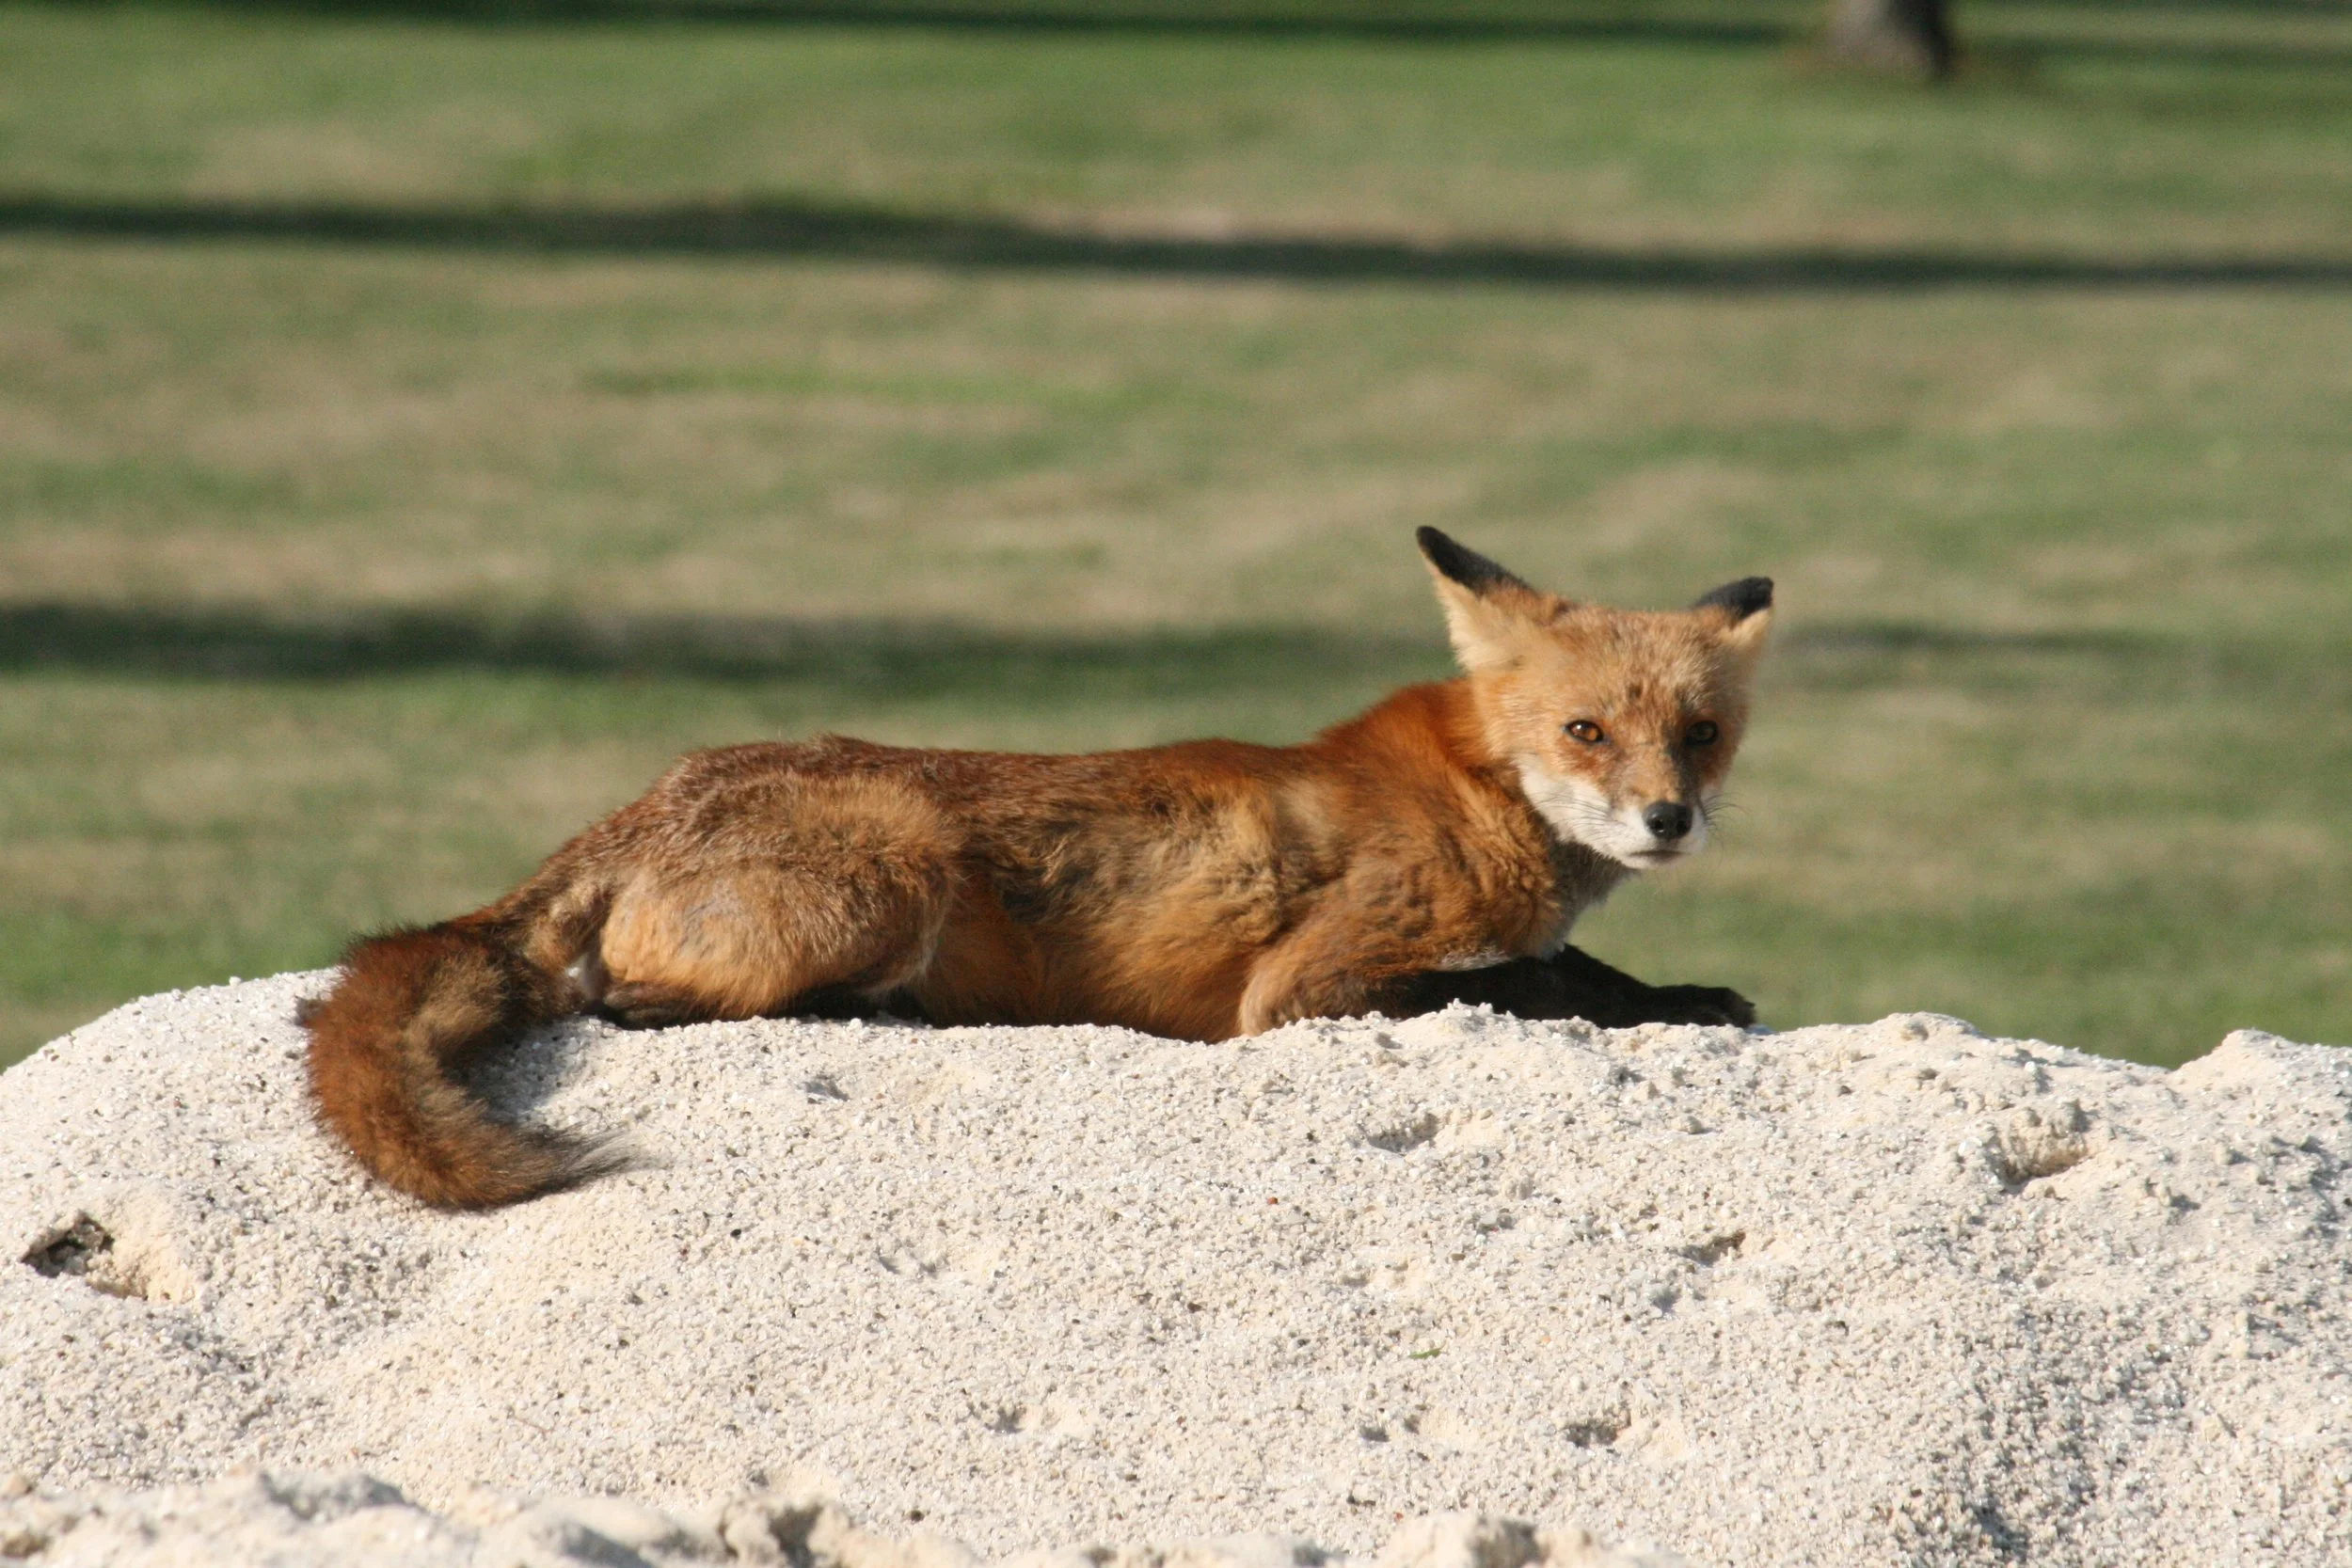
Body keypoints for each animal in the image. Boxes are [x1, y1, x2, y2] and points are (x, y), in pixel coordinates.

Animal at [301, 529, 1772, 1208]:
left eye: (1699, 733)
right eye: (1587, 731)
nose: (1667, 818)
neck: (1473, 795)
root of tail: (632, 808)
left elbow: (1585, 972)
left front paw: (1692, 994)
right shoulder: (1310, 988)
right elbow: (1533, 985)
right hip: (895, 863)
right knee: (638, 1006)